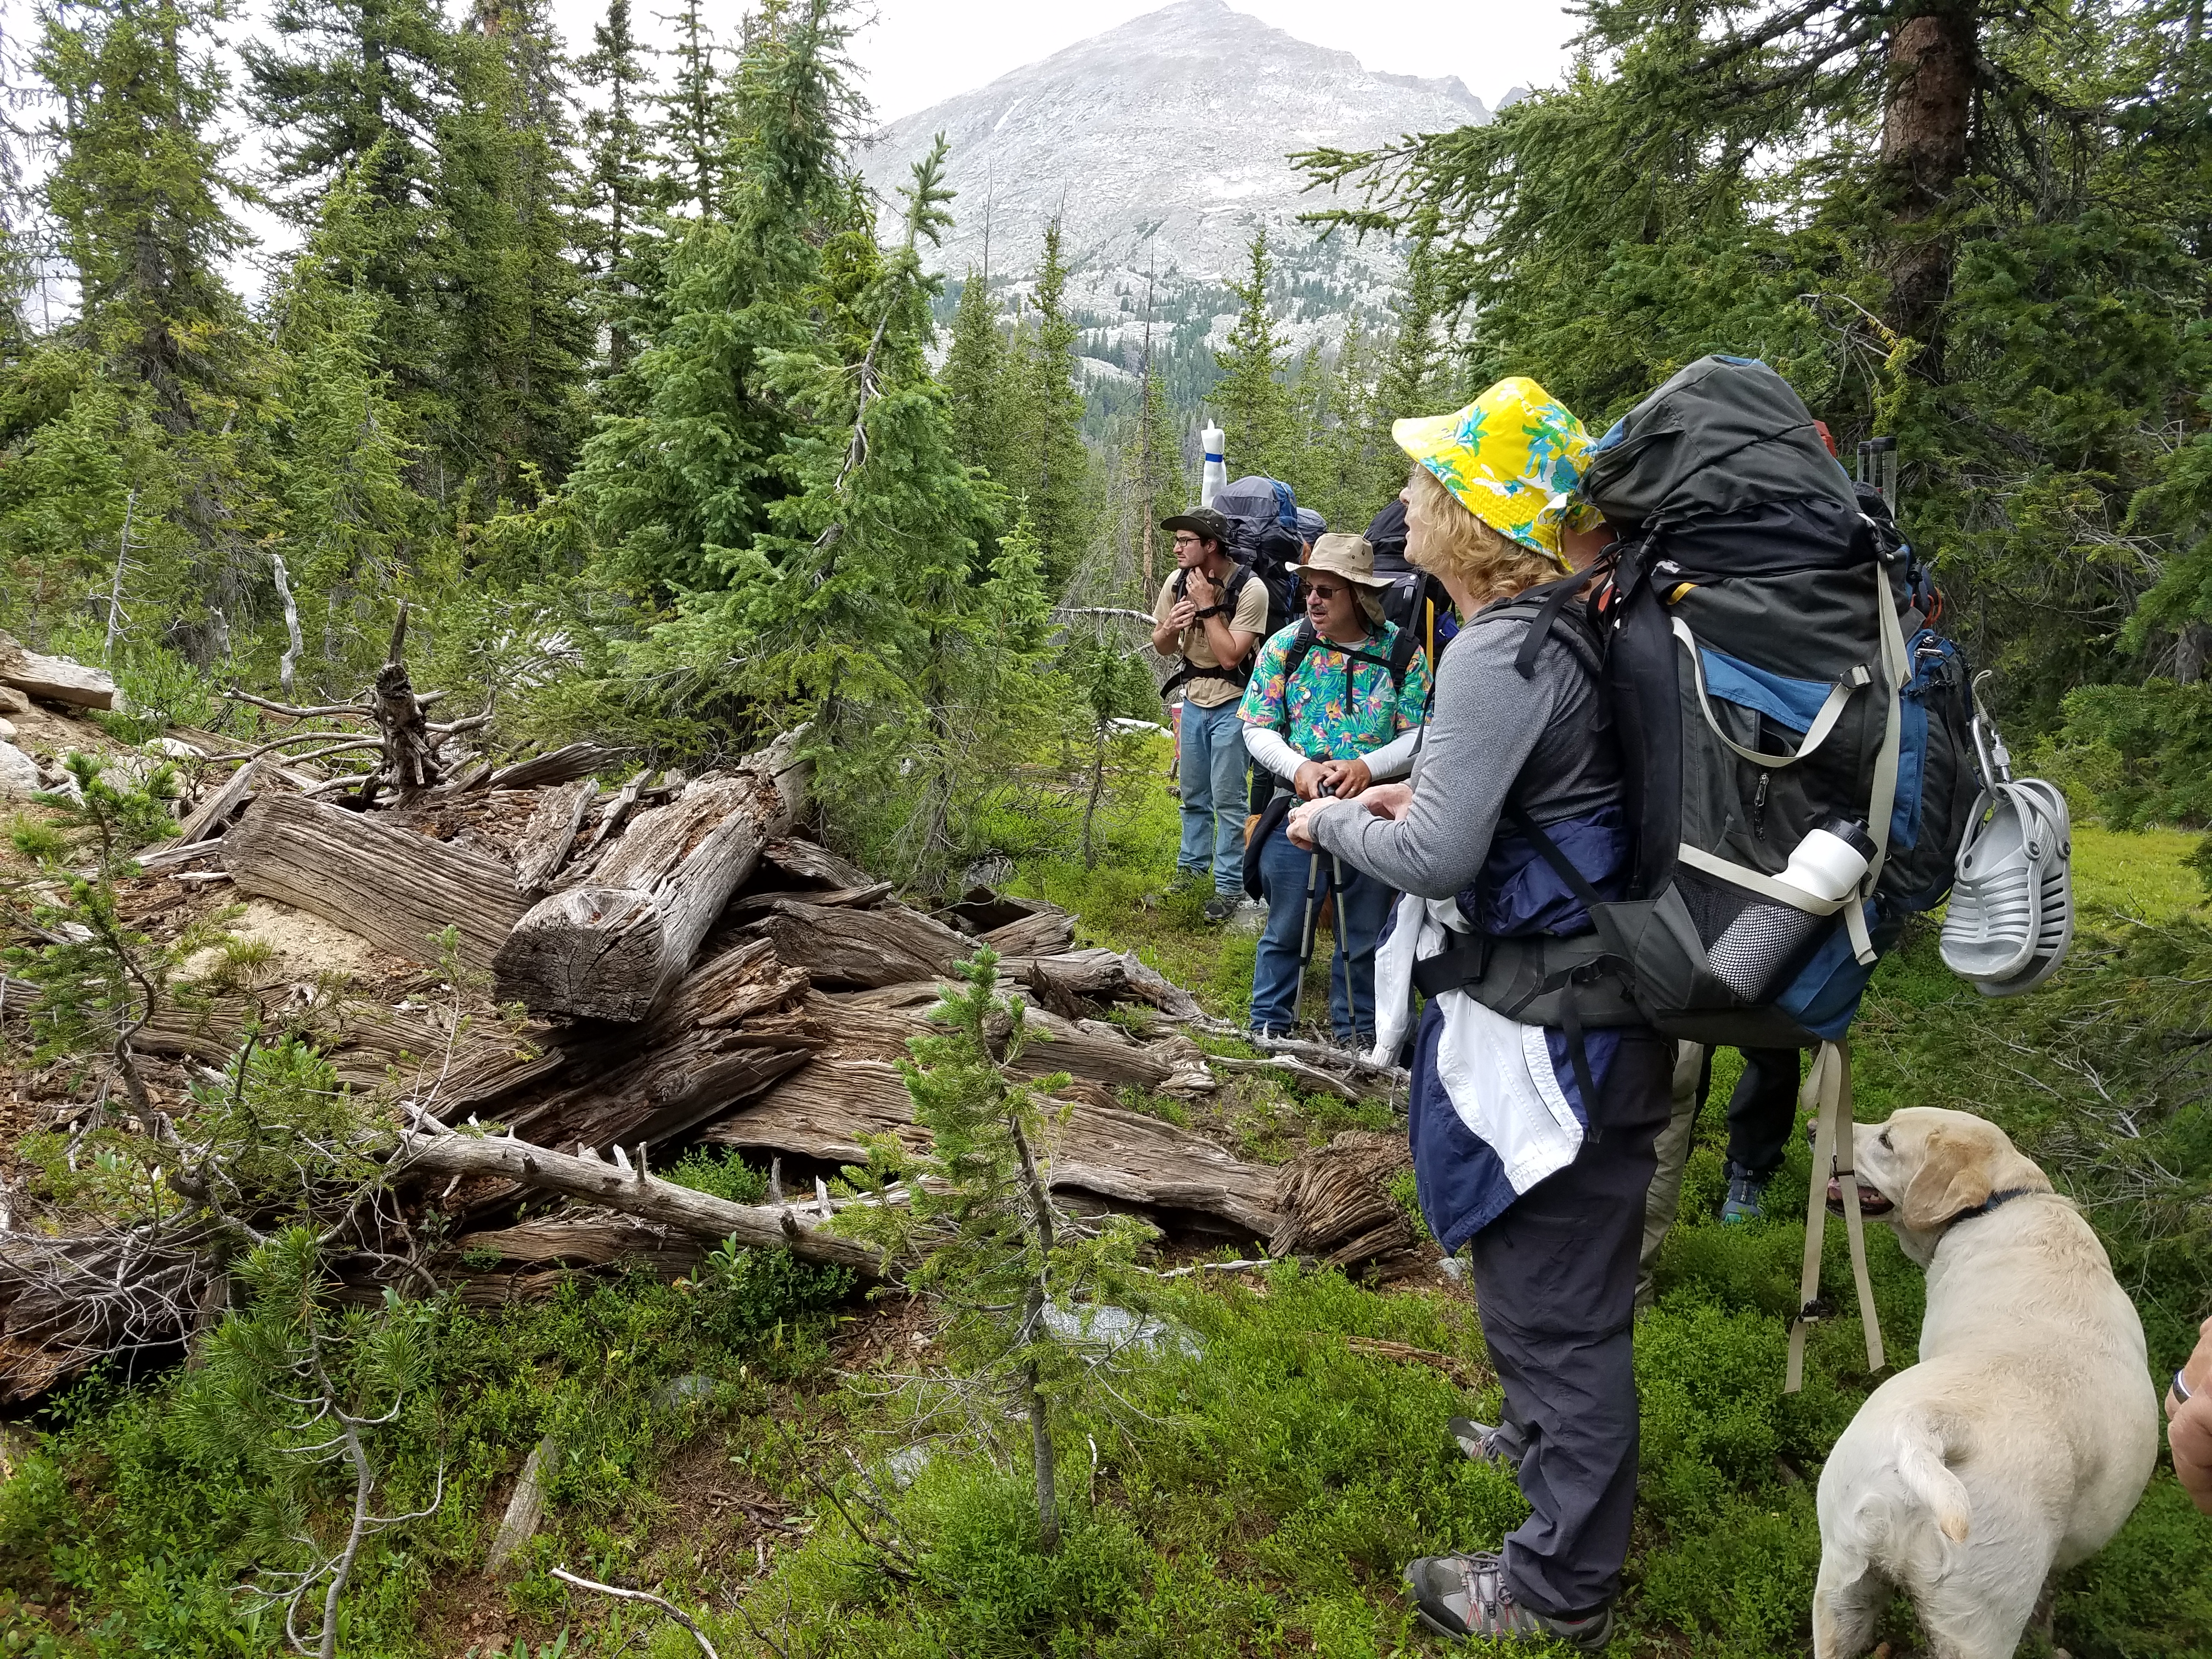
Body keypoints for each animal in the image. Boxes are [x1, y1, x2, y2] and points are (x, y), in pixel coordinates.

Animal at [1814, 1106, 2159, 1659]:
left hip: (1842, 1585)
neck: (1996, 1204)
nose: (1810, 1129)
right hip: (1981, 1628)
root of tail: (1934, 1430)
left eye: (1887, 1140)